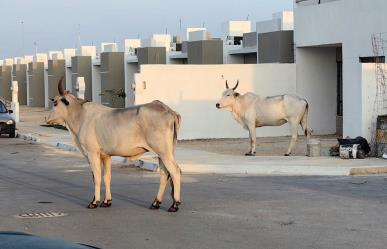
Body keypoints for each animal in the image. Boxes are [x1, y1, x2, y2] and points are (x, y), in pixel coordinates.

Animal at [45, 78, 183, 212]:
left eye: (55, 103)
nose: (46, 118)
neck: (80, 115)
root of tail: (167, 109)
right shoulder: (106, 156)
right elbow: (107, 177)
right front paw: (107, 201)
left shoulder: (92, 153)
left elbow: (97, 177)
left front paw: (94, 202)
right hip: (164, 152)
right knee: (165, 174)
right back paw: (156, 203)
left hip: (163, 152)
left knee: (175, 172)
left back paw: (174, 205)